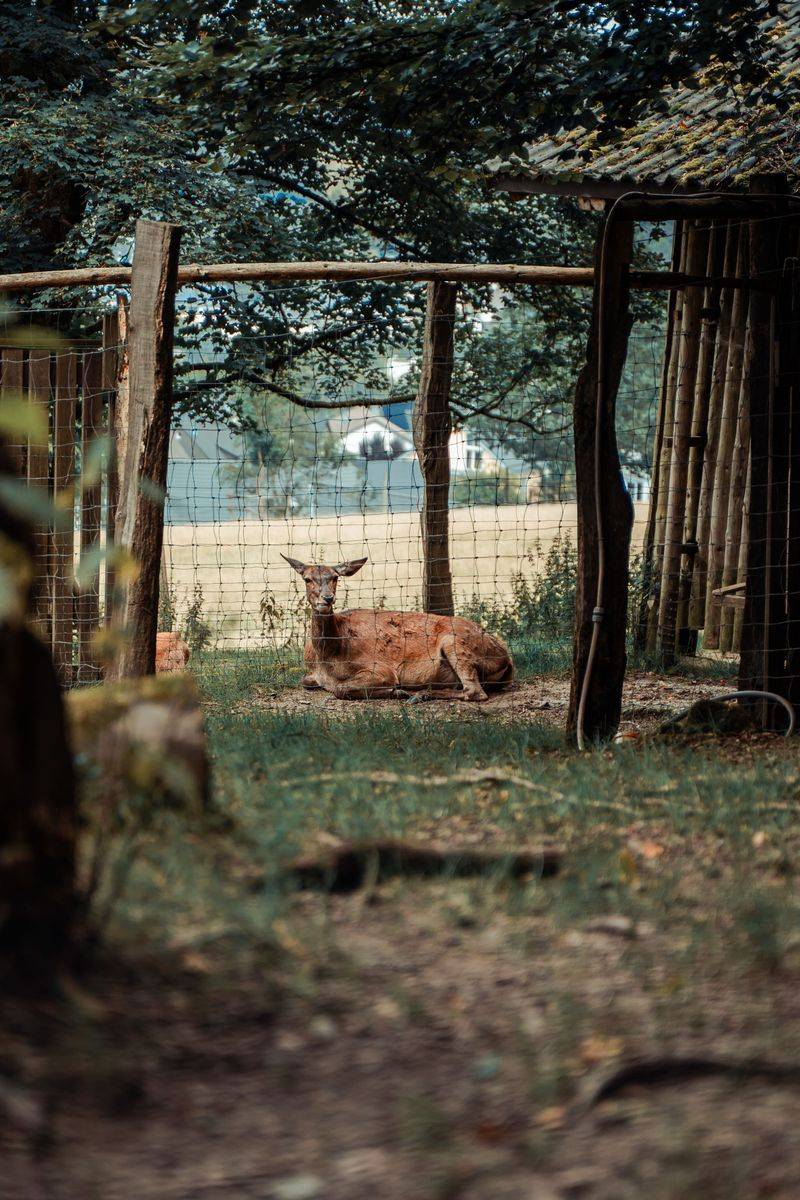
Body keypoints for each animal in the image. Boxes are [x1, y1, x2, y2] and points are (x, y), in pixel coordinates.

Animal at [282, 554, 514, 702]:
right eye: (307, 579)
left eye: (335, 577)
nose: (327, 598)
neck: (328, 657)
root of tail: (507, 660)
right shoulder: (311, 675)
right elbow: (305, 681)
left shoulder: (381, 669)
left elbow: (340, 689)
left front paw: (396, 691)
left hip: (456, 642)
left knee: (475, 691)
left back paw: (420, 694)